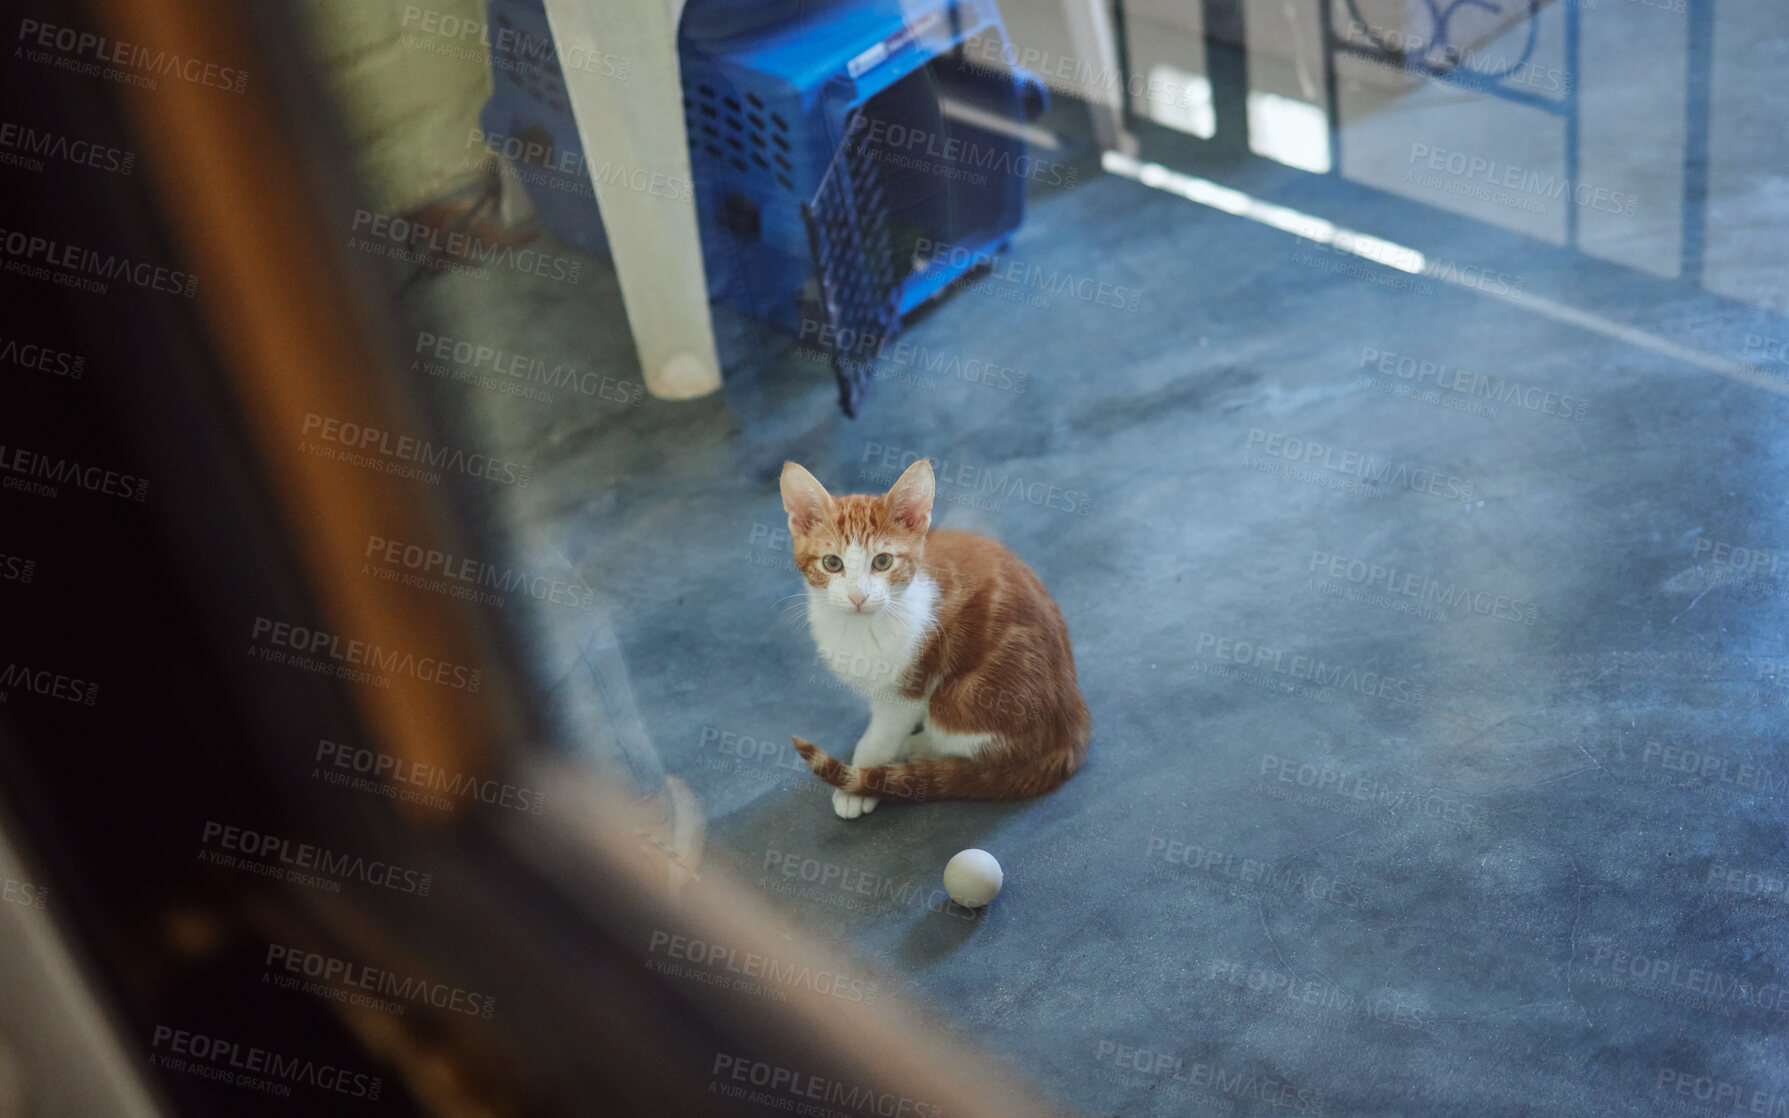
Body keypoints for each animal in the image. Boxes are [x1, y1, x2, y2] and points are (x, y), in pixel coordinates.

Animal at [780, 457, 1087, 815]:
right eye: (832, 562)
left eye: (882, 561)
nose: (858, 597)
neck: (859, 627)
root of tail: (1070, 738)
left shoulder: (909, 687)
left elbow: (880, 737)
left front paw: (859, 782)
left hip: (963, 698)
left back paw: (918, 747)